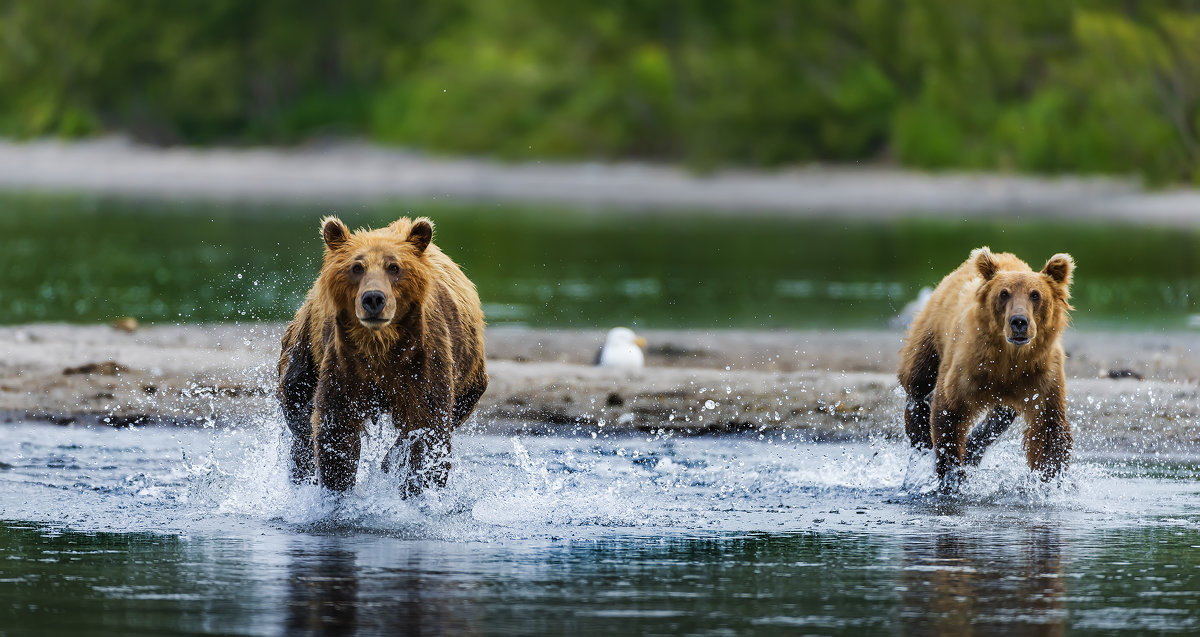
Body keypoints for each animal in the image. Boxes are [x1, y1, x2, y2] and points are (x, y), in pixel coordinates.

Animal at [276, 217, 487, 496]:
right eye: (356, 267)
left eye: (394, 267)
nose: (374, 298)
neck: (381, 347)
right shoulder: (345, 366)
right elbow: (336, 432)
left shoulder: (425, 363)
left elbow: (429, 435)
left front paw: (417, 488)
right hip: (307, 344)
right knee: (297, 403)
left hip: (469, 370)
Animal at [897, 247, 1075, 487]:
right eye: (1004, 293)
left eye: (1035, 294)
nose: (1019, 321)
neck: (1008, 359)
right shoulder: (967, 366)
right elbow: (949, 414)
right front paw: (952, 476)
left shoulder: (1041, 374)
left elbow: (1050, 429)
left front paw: (1048, 481)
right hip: (931, 330)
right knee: (917, 381)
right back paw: (922, 437)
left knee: (1002, 414)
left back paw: (973, 449)